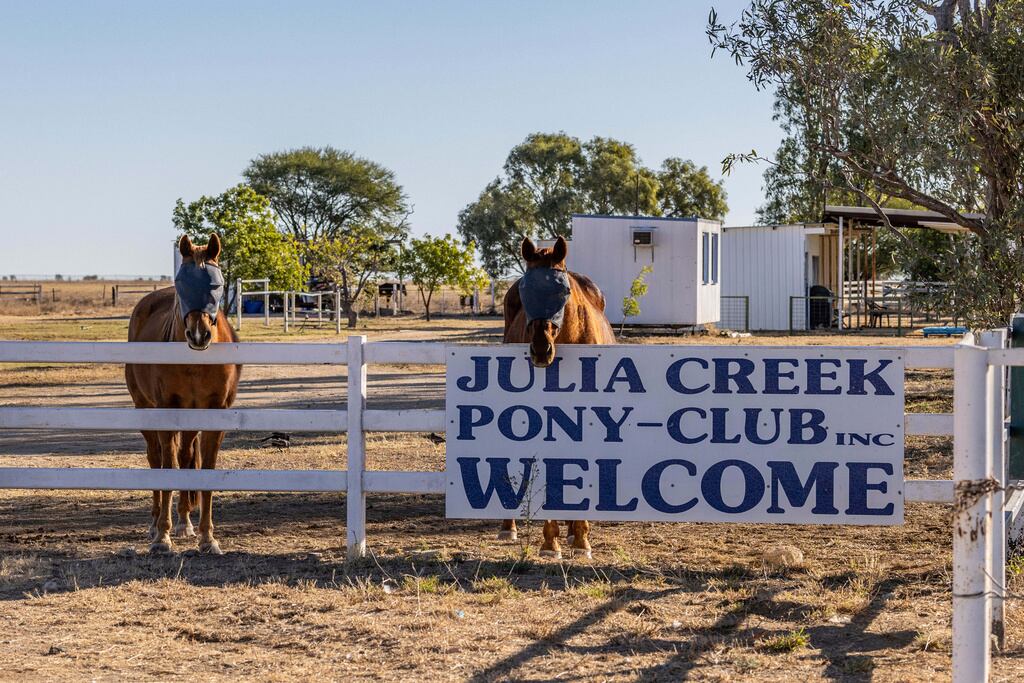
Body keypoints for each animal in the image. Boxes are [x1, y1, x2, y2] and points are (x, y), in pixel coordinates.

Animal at [125, 234, 241, 554]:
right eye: (181, 284)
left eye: (217, 284)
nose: (199, 334)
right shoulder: (167, 409)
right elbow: (169, 466)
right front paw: (162, 537)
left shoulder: (215, 413)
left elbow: (204, 468)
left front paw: (207, 537)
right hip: (145, 408)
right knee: (157, 457)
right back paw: (157, 523)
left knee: (187, 454)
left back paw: (185, 520)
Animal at [501, 235, 616, 559]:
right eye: (525, 290)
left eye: (564, 291)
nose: (541, 350)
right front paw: (550, 542)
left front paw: (581, 537)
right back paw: (509, 527)